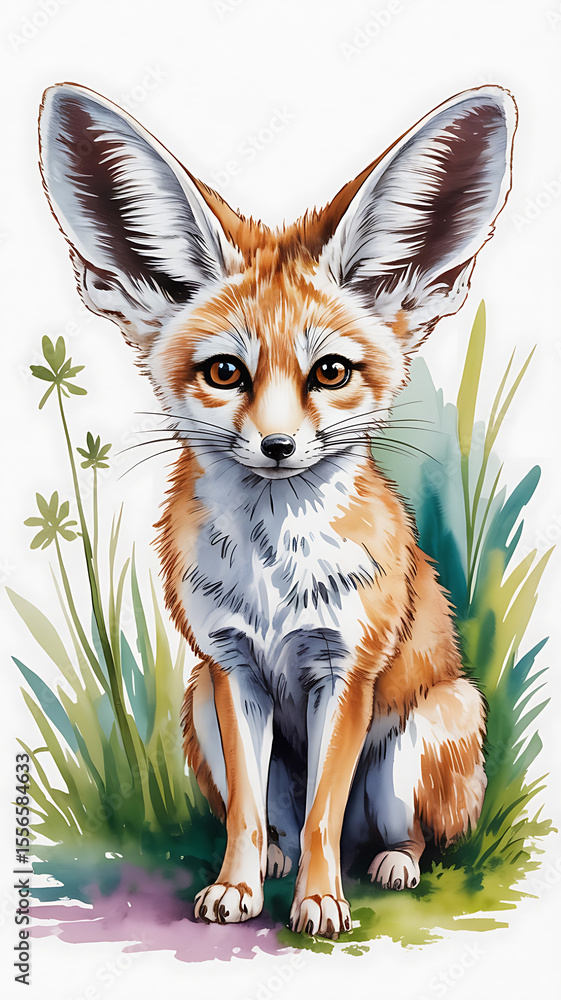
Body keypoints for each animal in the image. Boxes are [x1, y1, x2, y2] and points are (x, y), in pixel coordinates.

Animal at [38, 82, 516, 939]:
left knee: (396, 833)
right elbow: (249, 814)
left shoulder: (344, 671)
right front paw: (236, 887)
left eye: (330, 372)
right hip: (196, 702)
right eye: (225, 372)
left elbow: (326, 810)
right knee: (277, 821)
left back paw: (385, 866)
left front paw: (321, 905)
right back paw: (272, 867)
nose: (277, 446)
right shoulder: (231, 671)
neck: (272, 574)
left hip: (425, 731)